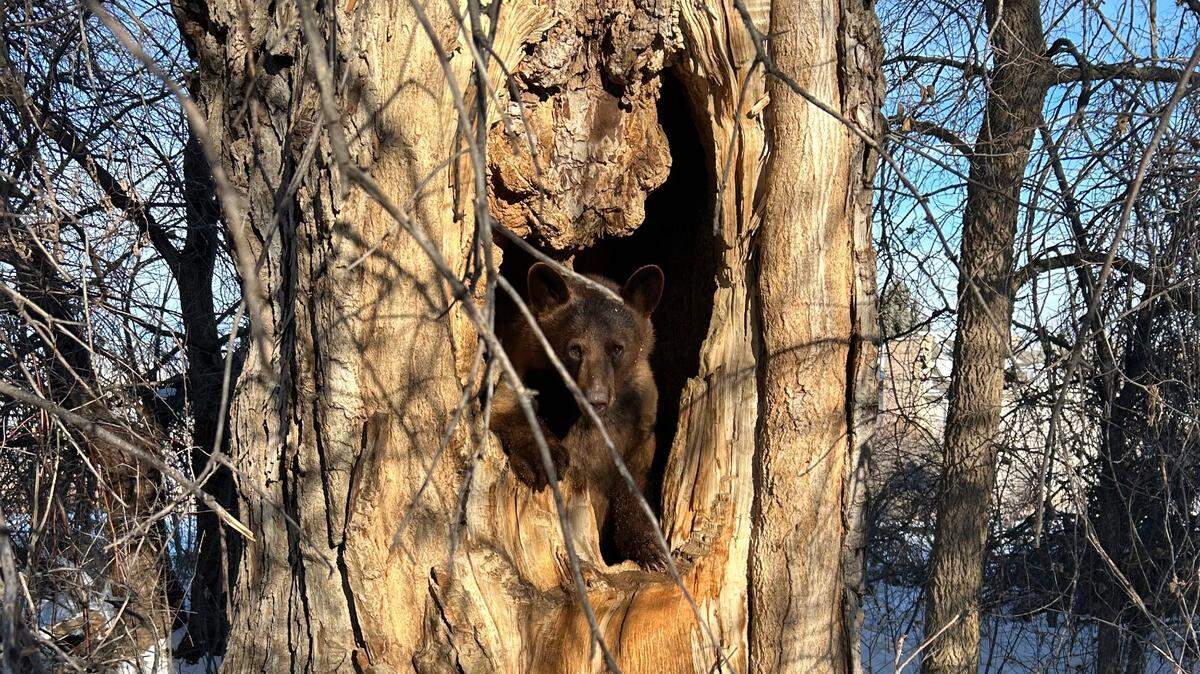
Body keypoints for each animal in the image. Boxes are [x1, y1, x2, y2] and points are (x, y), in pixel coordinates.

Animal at [489, 261, 667, 568]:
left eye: (616, 348)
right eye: (574, 348)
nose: (595, 399)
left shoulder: (639, 417)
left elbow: (636, 478)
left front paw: (651, 551)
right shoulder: (518, 364)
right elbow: (504, 410)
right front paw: (543, 459)